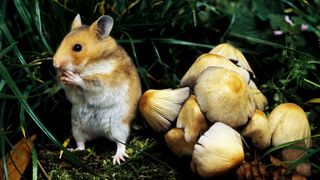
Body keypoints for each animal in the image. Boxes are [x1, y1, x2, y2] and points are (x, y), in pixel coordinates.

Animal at [52, 14, 141, 165]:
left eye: (77, 47)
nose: (55, 64)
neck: (89, 64)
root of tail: (99, 133)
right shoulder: (73, 94)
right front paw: (62, 76)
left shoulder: (103, 83)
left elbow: (87, 83)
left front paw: (72, 77)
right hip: (77, 127)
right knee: (81, 144)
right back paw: (72, 150)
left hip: (119, 127)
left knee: (121, 144)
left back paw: (118, 159)